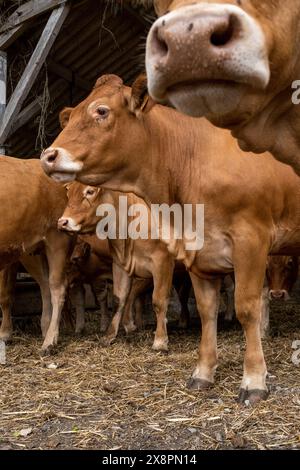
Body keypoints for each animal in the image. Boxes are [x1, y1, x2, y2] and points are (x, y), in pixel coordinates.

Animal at [0, 156, 74, 354]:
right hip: (31, 250)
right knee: (44, 284)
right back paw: (45, 327)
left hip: (57, 240)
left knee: (57, 287)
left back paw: (50, 340)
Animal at [40, 74, 300, 404]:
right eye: (71, 114)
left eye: (101, 111)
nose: (47, 156)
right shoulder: (199, 253)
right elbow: (206, 310)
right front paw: (203, 372)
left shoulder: (250, 241)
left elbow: (246, 307)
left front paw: (254, 379)